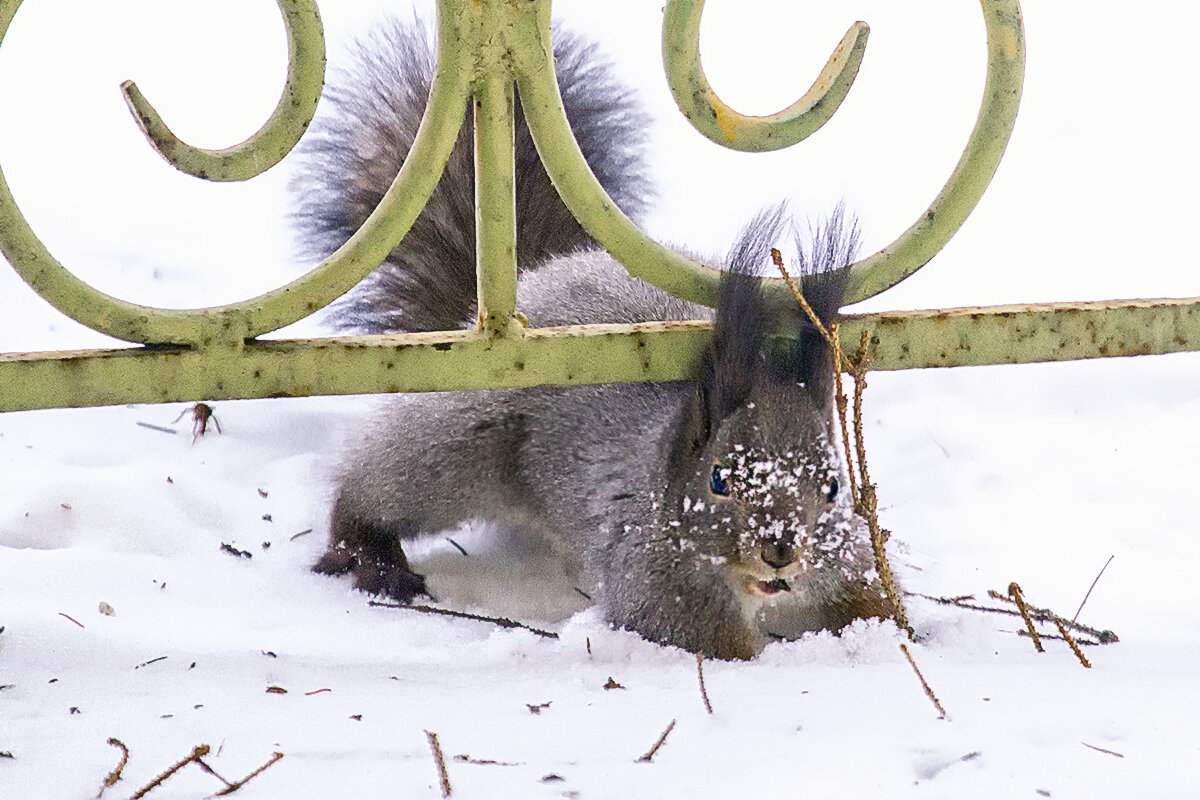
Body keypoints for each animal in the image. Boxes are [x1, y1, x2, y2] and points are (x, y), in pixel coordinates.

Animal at [288, 15, 892, 662]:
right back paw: (372, 554)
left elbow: (870, 604)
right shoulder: (652, 576)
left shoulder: (845, 563)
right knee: (376, 485)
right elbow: (706, 639)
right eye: (719, 480)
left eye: (833, 486)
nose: (780, 549)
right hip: (457, 447)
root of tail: (536, 277)